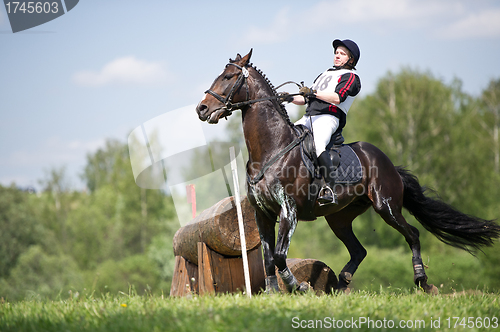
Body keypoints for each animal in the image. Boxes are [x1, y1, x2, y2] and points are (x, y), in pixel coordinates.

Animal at [195, 49, 500, 294]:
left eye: (228, 77)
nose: (202, 108)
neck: (271, 149)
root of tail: (388, 162)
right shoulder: (263, 213)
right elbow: (268, 258)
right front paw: (272, 293)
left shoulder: (289, 210)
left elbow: (280, 256)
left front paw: (299, 287)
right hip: (339, 218)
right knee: (359, 249)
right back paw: (342, 283)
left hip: (386, 205)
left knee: (412, 234)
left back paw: (423, 282)